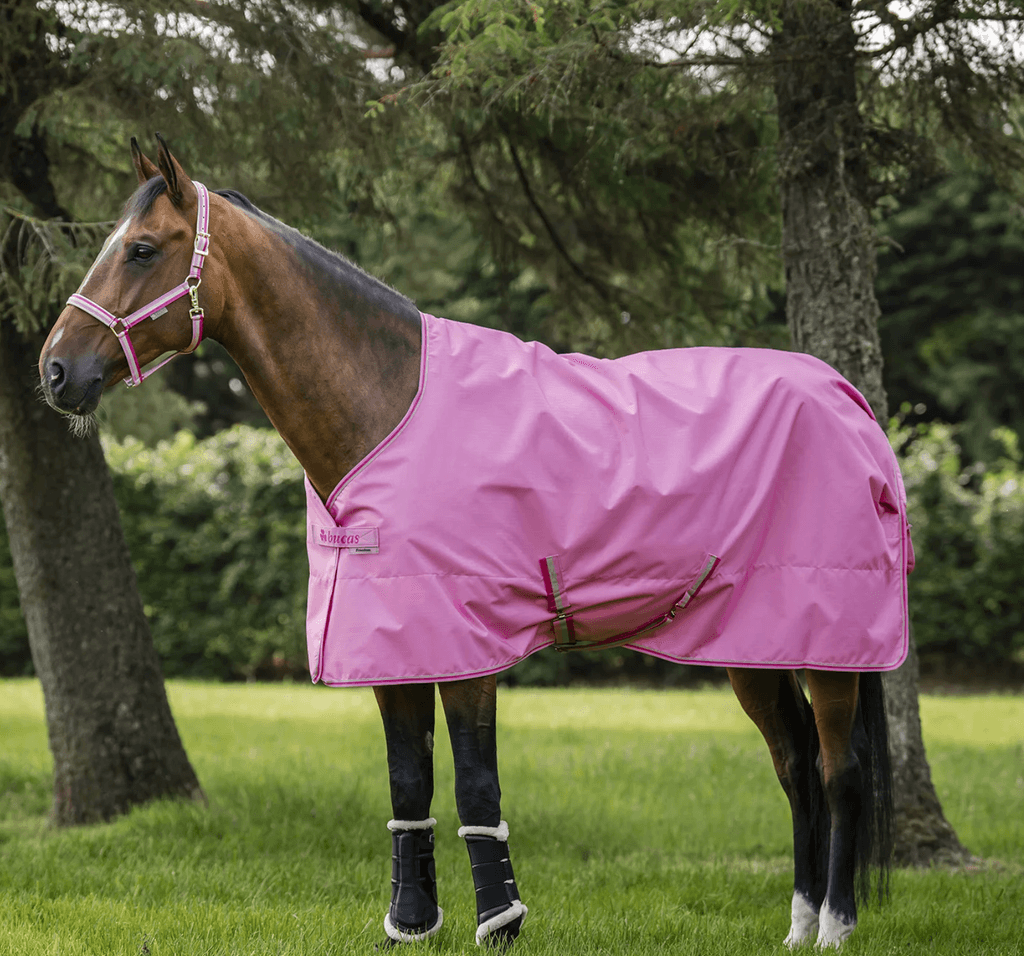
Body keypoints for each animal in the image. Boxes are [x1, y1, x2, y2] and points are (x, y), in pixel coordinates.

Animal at [39, 136, 906, 949]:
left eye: (141, 248)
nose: (54, 371)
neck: (387, 408)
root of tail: (847, 397)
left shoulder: (468, 650)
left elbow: (475, 786)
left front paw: (501, 924)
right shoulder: (392, 649)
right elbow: (408, 784)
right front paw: (412, 923)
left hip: (830, 645)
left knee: (840, 771)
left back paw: (836, 927)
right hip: (753, 645)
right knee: (795, 767)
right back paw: (797, 926)